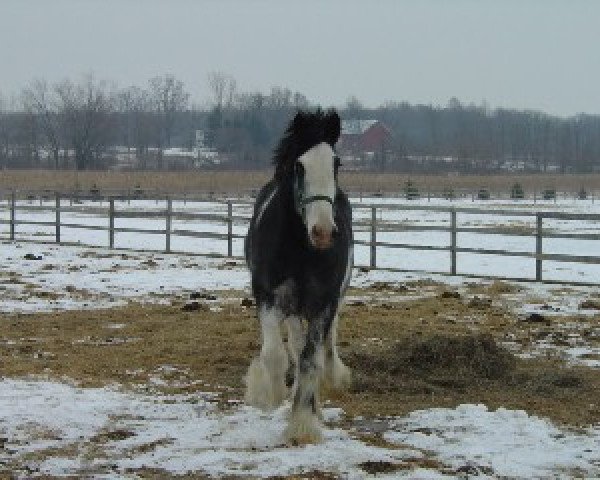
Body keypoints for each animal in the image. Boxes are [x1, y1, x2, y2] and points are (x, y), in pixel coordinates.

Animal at [244, 108, 354, 442]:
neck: (299, 248)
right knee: (292, 344)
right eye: (299, 165)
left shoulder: (323, 303)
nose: (323, 232)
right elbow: (275, 354)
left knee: (320, 349)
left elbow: (310, 360)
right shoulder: (268, 296)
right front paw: (269, 394)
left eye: (336, 163)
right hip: (292, 307)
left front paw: (303, 422)